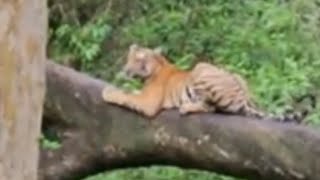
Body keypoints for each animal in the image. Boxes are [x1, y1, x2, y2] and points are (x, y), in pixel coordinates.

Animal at [101, 43, 316, 124]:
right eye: (129, 58)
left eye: (138, 59)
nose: (125, 70)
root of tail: (245, 98)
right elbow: (129, 91)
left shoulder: (149, 102)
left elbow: (125, 95)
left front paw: (108, 91)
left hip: (200, 69)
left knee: (211, 107)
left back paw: (187, 107)